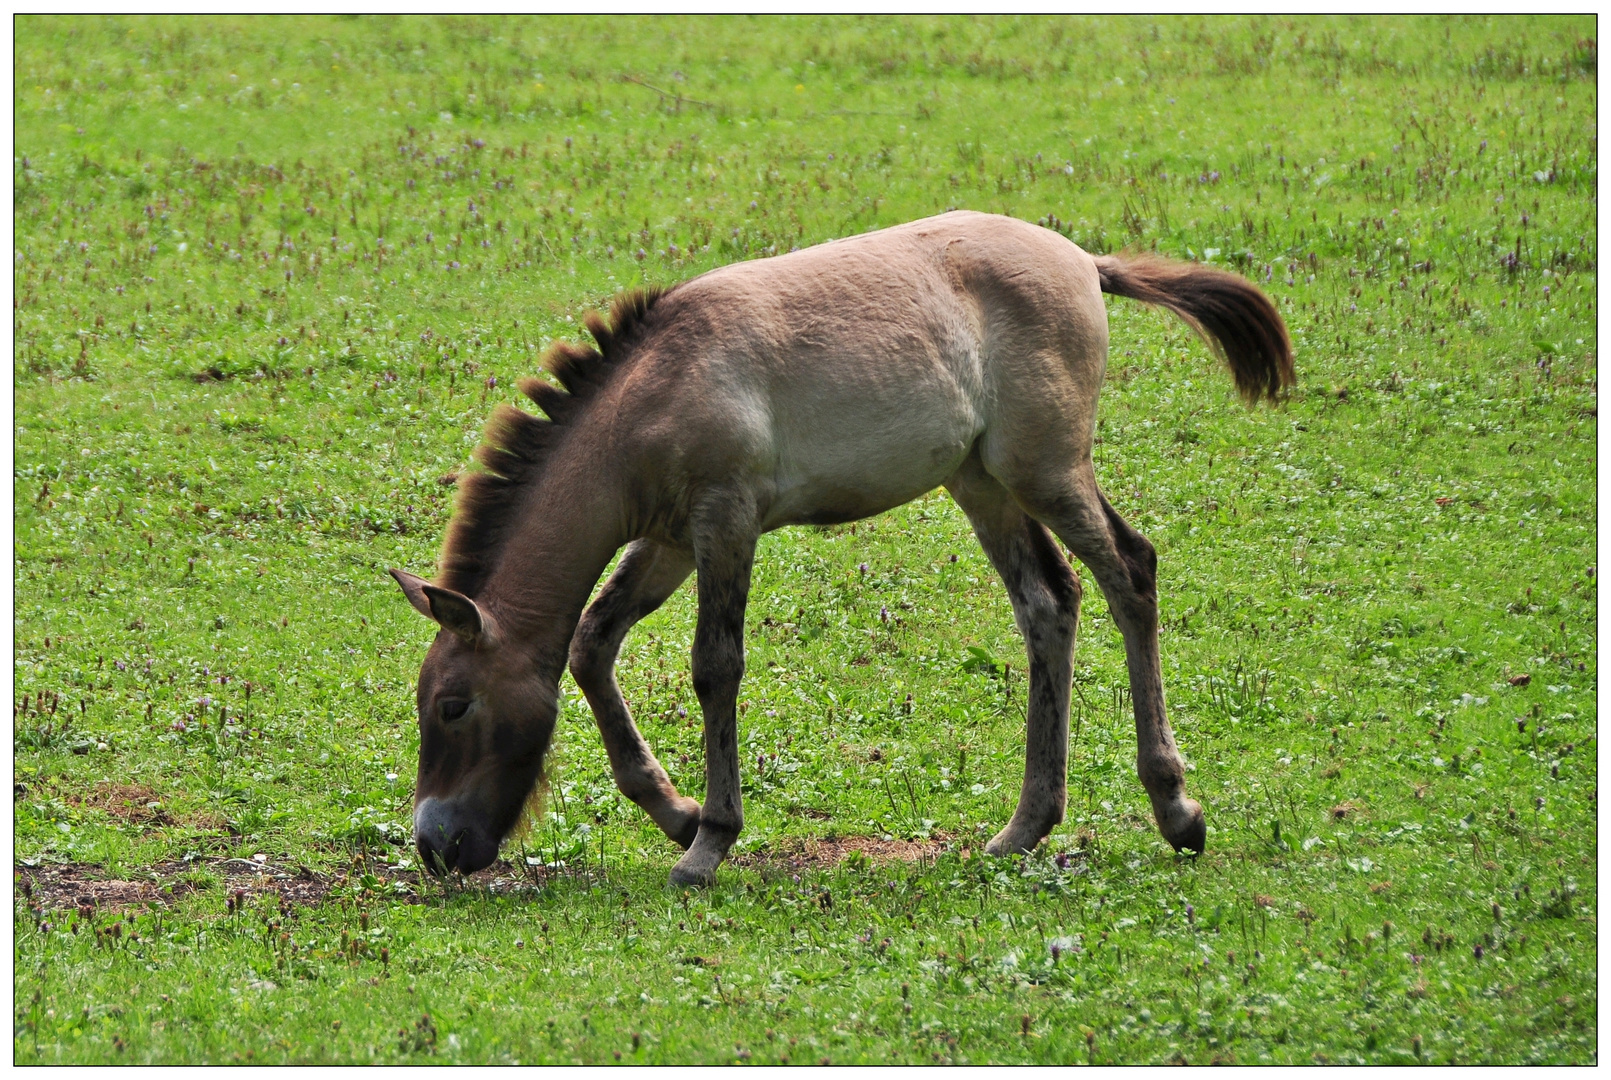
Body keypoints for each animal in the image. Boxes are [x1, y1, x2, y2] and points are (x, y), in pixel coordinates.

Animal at [393, 211, 1295, 889]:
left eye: (453, 706)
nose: (435, 847)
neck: (649, 394)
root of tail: (1081, 260)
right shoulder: (668, 540)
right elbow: (590, 644)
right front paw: (674, 811)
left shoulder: (725, 521)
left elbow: (714, 667)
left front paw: (708, 841)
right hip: (982, 483)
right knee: (1049, 603)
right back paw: (1025, 827)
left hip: (1043, 469)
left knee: (1127, 573)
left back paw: (1174, 810)